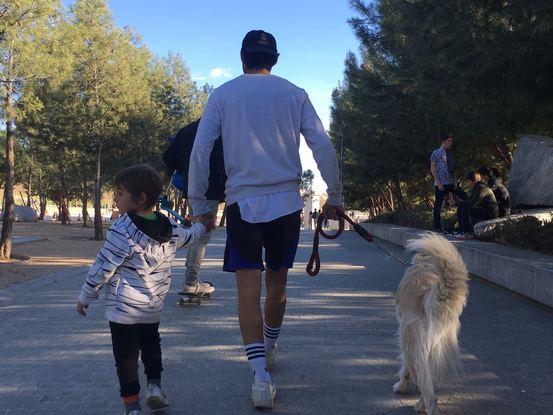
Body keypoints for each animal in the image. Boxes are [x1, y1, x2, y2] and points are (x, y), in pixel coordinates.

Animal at [392, 234, 466, 415]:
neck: (424, 264)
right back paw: (422, 404)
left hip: (411, 343)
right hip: (437, 350)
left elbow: (404, 367)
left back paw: (424, 406)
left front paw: (401, 386)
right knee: (431, 384)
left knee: (427, 389)